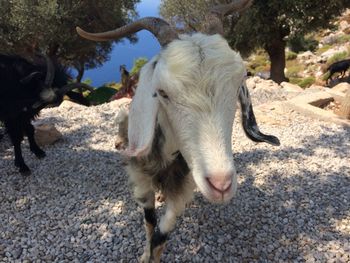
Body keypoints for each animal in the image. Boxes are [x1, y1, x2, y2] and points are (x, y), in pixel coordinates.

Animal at [76, 1, 278, 262]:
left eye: (238, 83)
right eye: (162, 92)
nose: (221, 185)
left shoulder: (184, 187)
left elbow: (161, 234)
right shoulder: (140, 180)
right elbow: (149, 222)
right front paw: (144, 254)